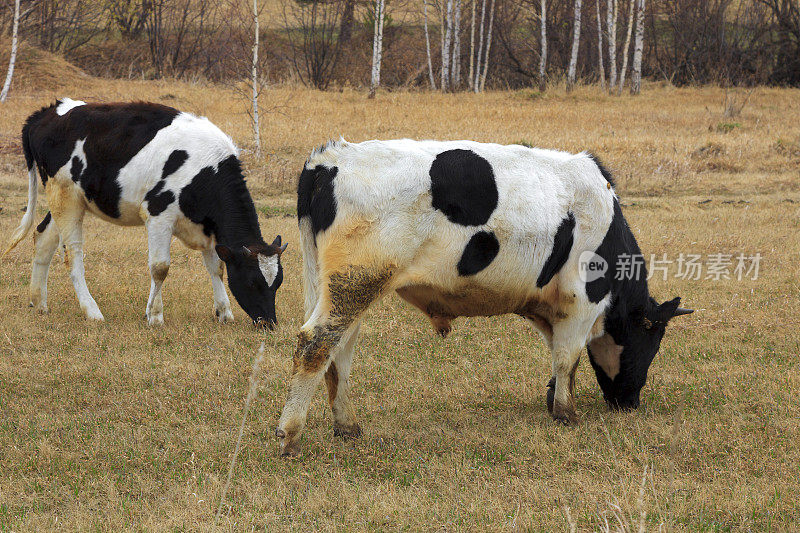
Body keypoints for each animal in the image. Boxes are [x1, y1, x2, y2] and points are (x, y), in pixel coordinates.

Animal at [1, 97, 290, 326]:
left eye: (278, 282)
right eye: (252, 282)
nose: (269, 322)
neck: (206, 168)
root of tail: (48, 111)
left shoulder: (207, 226)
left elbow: (216, 267)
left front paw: (224, 313)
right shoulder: (159, 215)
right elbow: (160, 267)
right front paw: (154, 315)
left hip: (66, 199)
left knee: (43, 238)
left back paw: (39, 303)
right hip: (65, 197)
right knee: (73, 255)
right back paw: (92, 312)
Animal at [276, 139, 692, 456]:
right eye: (651, 340)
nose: (630, 403)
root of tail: (328, 160)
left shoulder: (550, 308)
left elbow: (560, 357)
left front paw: (555, 399)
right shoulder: (582, 301)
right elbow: (567, 357)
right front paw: (567, 414)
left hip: (341, 287)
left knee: (339, 352)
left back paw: (347, 426)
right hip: (356, 283)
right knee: (315, 344)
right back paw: (290, 434)